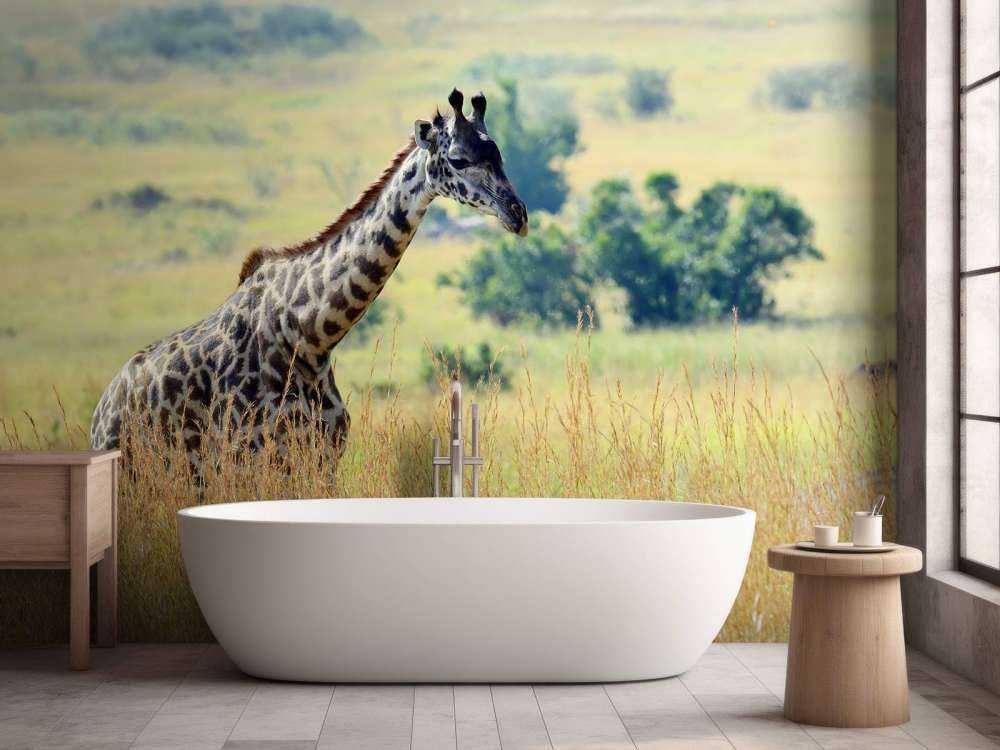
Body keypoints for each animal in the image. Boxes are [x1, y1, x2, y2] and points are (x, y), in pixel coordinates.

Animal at [90, 88, 528, 467]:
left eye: (499, 153)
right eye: (457, 160)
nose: (518, 214)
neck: (311, 337)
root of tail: (101, 411)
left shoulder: (322, 457)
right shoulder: (253, 458)